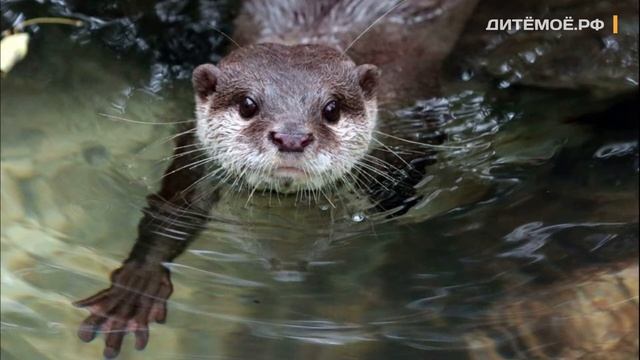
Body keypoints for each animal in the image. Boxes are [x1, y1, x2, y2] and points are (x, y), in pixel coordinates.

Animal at [74, 0, 476, 358]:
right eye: (247, 105)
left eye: (331, 109)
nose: (292, 137)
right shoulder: (195, 151)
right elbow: (174, 210)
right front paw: (136, 286)